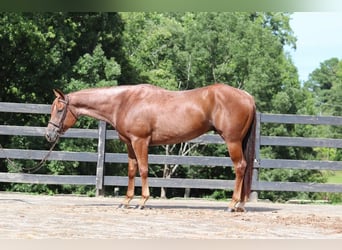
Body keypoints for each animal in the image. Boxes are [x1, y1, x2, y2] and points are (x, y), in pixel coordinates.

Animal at [45, 83, 255, 212]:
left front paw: (143, 201)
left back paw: (232, 204)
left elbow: (144, 170)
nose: (49, 134)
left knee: (240, 167)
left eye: (60, 109)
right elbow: (132, 171)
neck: (124, 102)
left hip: (232, 141)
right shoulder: (130, 144)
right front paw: (126, 201)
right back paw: (240, 205)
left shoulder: (140, 141)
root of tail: (247, 96)